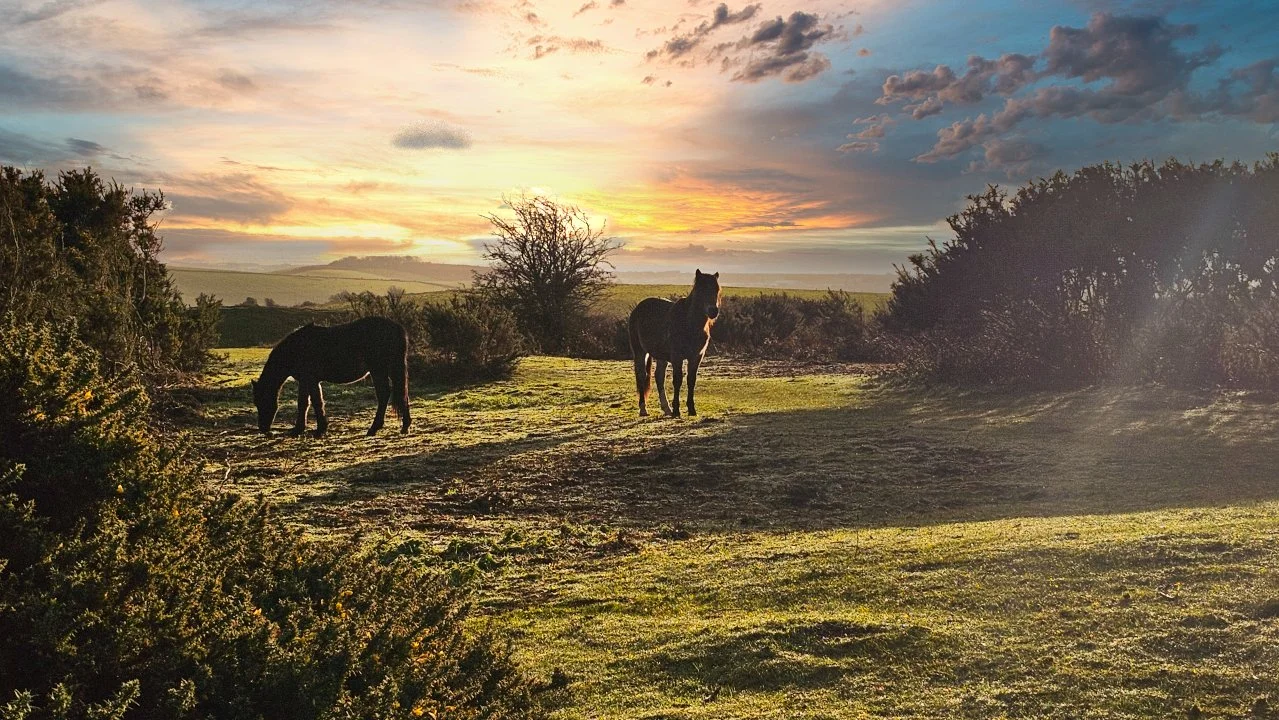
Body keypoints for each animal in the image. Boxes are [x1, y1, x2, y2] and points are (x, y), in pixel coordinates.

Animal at [251, 316, 410, 438]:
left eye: (262, 401)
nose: (263, 428)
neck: (296, 348)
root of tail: (396, 327)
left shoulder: (309, 379)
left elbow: (311, 403)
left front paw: (316, 430)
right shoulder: (307, 381)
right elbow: (308, 403)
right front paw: (303, 429)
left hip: (379, 370)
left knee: (384, 394)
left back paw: (374, 428)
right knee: (400, 393)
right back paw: (404, 426)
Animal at [627, 269, 722, 418]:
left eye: (717, 289)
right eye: (700, 290)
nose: (713, 311)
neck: (689, 323)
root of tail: (638, 308)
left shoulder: (696, 357)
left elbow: (691, 381)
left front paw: (691, 409)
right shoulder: (677, 357)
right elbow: (677, 380)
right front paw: (677, 410)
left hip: (661, 356)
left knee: (659, 377)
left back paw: (666, 408)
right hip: (639, 351)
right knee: (642, 375)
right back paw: (643, 409)